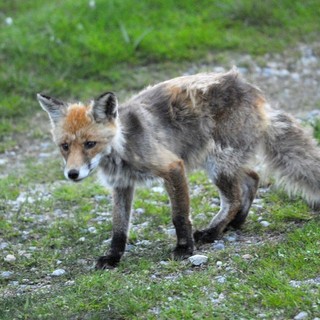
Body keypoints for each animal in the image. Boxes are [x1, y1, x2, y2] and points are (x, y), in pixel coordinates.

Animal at [37, 69, 320, 268]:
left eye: (89, 144)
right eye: (64, 146)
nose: (72, 174)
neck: (122, 147)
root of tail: (253, 92)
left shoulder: (172, 167)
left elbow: (179, 215)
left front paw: (184, 248)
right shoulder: (122, 185)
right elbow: (119, 227)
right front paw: (113, 257)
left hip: (217, 162)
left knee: (234, 198)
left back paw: (213, 231)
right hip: (223, 161)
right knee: (252, 178)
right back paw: (235, 223)